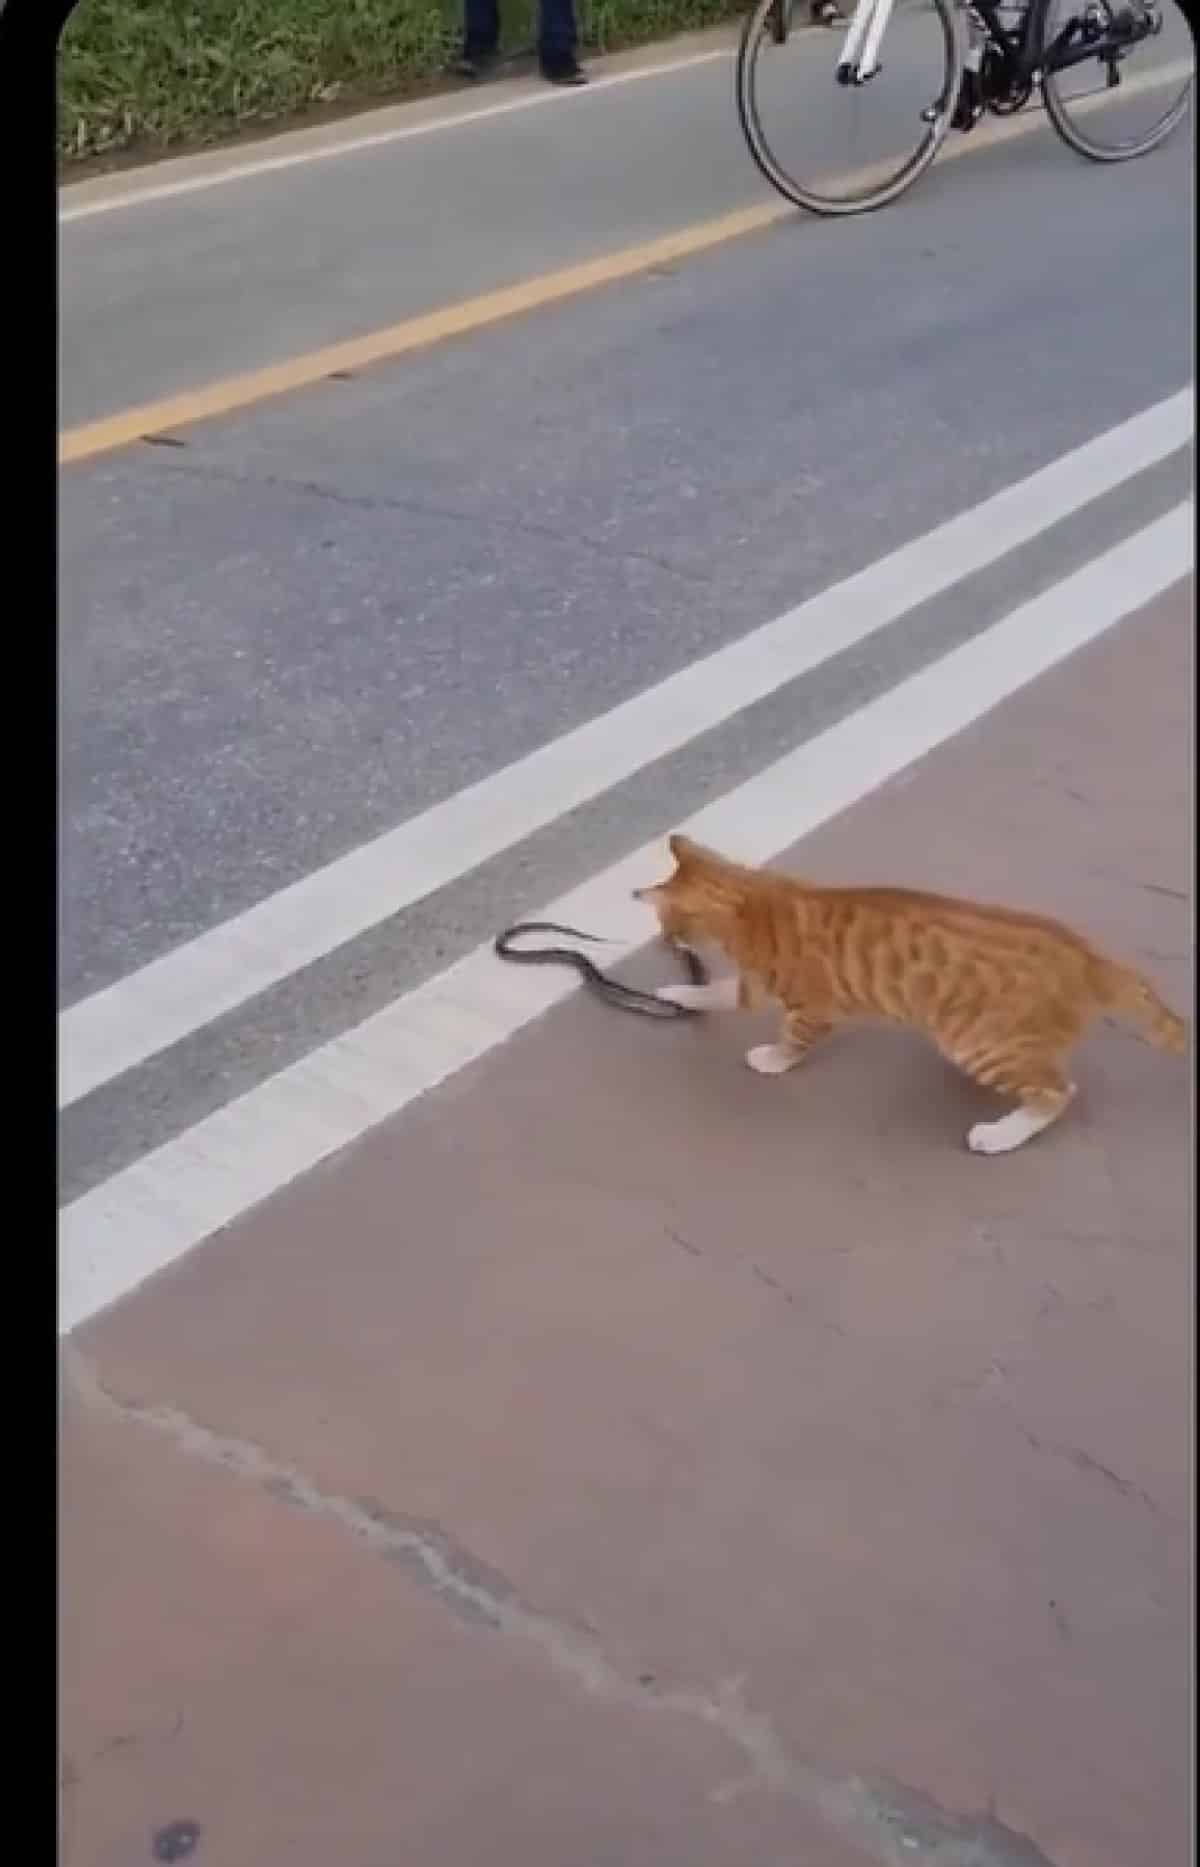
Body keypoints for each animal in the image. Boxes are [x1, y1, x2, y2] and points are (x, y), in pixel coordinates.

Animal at [634, 836, 1186, 1150]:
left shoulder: (811, 1006)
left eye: (666, 923)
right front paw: (678, 991)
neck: (755, 899)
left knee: (1058, 1092)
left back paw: (1000, 1135)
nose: (663, 942)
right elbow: (716, 993)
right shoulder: (755, 986)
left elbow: (793, 1039)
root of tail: (1086, 956)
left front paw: (773, 1058)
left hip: (979, 1045)